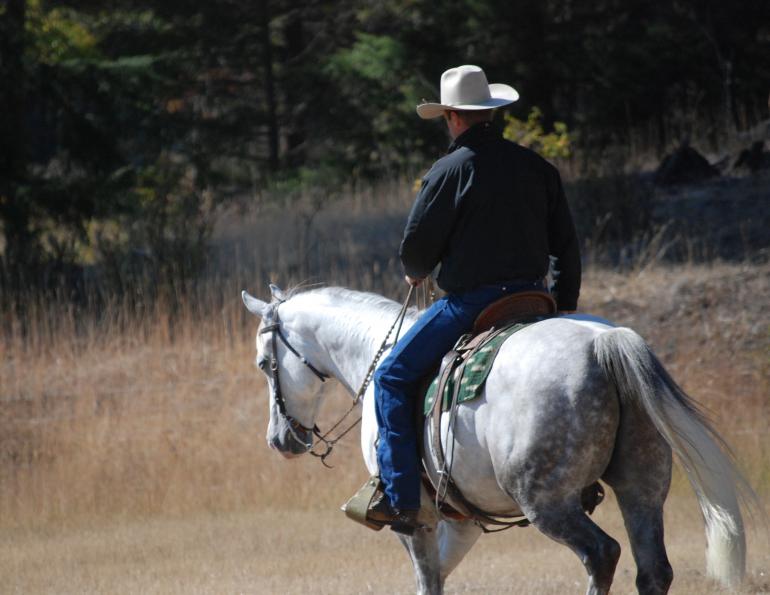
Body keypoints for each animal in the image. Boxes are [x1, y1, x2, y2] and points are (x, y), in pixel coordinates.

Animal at [241, 283, 753, 595]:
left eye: (265, 364)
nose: (279, 439)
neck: (377, 353)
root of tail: (603, 344)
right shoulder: (462, 521)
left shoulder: (417, 519)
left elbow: (427, 581)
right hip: (642, 488)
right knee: (653, 570)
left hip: (547, 502)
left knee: (602, 554)